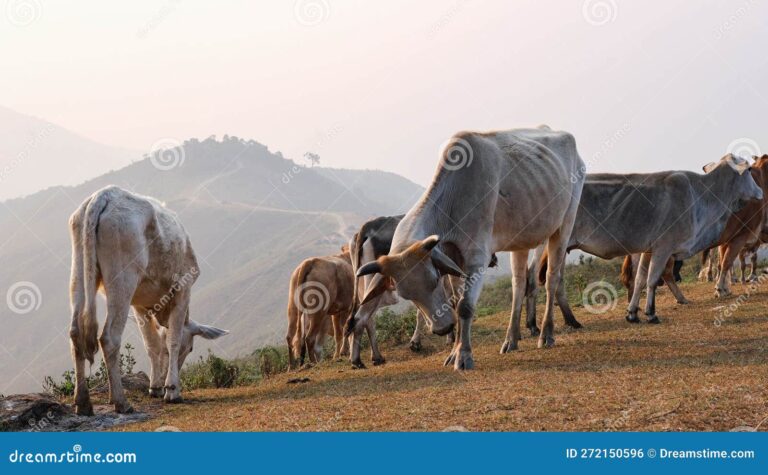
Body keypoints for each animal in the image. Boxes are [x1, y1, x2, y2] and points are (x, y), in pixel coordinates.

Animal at [68, 186, 228, 415]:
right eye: (190, 349)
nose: (164, 384)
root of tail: (104, 194)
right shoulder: (184, 289)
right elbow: (173, 340)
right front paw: (172, 391)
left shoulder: (139, 304)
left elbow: (152, 344)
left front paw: (155, 388)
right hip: (123, 278)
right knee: (108, 337)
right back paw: (122, 402)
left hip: (78, 271)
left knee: (75, 333)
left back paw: (83, 402)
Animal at [354, 126, 586, 369]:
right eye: (406, 294)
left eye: (434, 280)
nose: (442, 328)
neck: (452, 202)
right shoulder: (453, 261)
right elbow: (456, 303)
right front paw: (453, 353)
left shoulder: (477, 258)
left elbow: (465, 307)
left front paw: (463, 355)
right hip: (521, 239)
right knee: (519, 284)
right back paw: (511, 339)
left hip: (564, 225)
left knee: (551, 278)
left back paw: (546, 334)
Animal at [534, 154, 763, 325]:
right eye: (749, 170)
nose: (761, 192)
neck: (702, 196)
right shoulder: (663, 247)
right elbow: (652, 279)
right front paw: (651, 313)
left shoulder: (648, 250)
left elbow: (640, 280)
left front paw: (632, 313)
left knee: (554, 282)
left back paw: (569, 321)